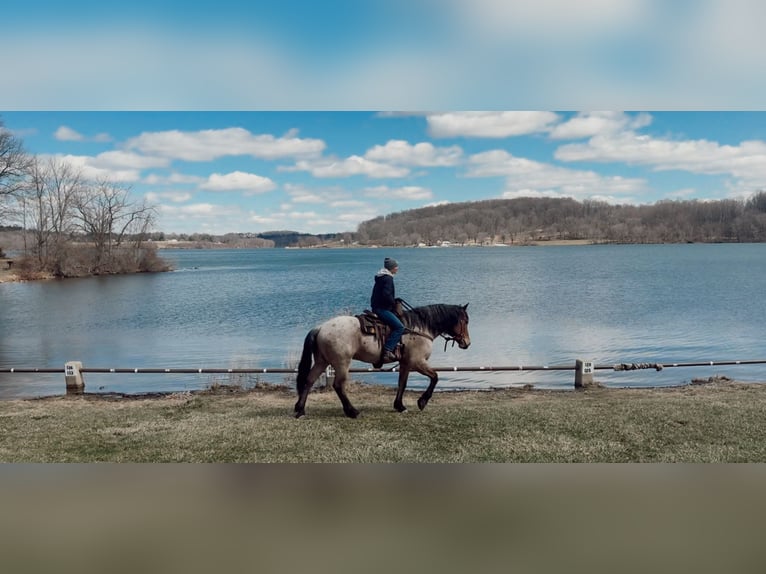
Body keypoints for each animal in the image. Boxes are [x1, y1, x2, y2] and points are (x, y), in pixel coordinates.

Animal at [294, 303, 471, 418]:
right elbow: (435, 377)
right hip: (341, 363)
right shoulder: (417, 362)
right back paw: (352, 411)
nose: (467, 343)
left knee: (309, 381)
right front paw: (422, 401)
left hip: (322, 361)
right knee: (338, 385)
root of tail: (320, 328)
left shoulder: (406, 363)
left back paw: (300, 410)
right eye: (465, 321)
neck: (419, 328)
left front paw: (400, 406)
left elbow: (402, 383)